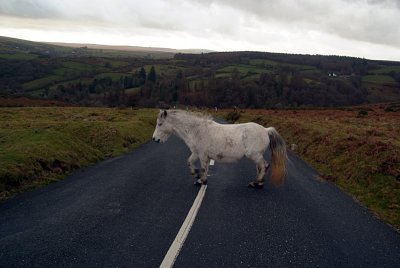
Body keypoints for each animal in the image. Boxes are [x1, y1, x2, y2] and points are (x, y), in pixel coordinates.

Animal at [152, 109, 288, 188]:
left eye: (160, 124)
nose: (154, 139)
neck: (196, 130)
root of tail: (266, 130)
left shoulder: (202, 155)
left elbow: (204, 168)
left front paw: (201, 181)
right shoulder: (196, 153)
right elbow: (189, 162)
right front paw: (195, 174)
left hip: (255, 155)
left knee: (263, 166)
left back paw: (256, 183)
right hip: (256, 156)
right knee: (262, 167)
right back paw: (259, 182)